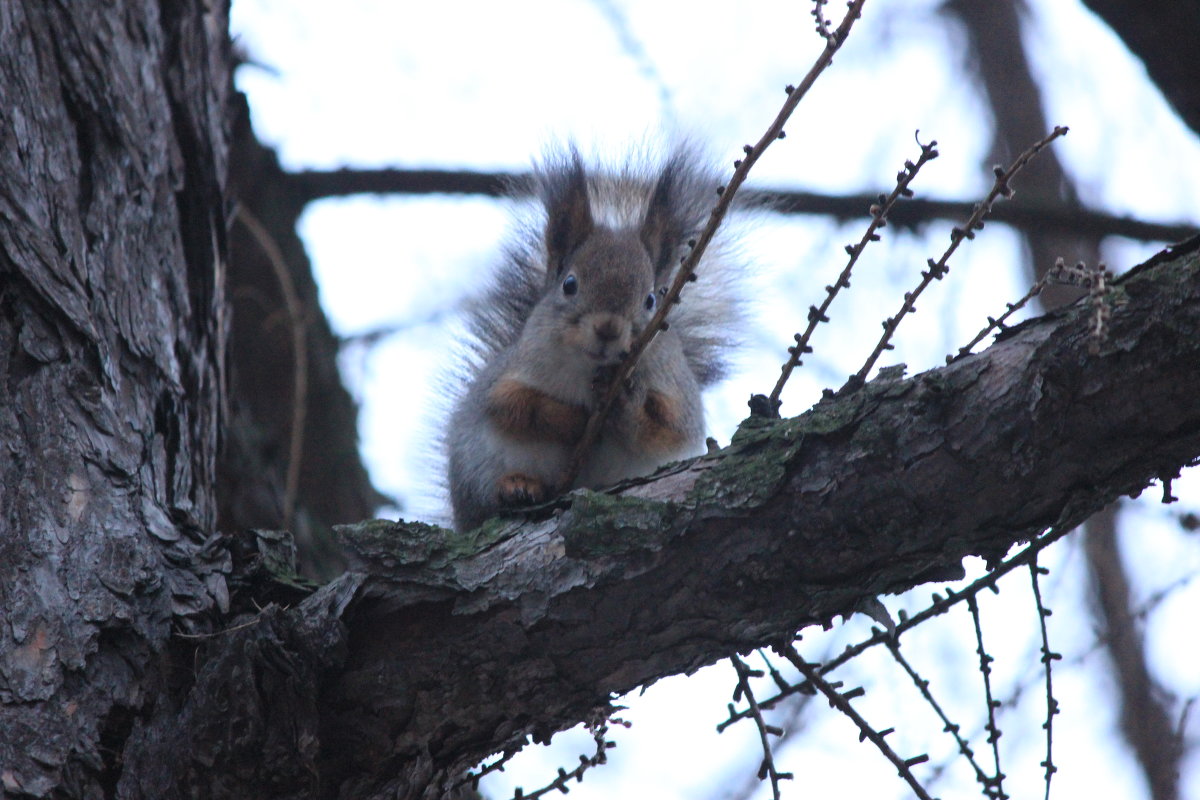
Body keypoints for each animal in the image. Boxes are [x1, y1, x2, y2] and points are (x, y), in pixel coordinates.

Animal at [444, 145, 739, 532]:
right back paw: (517, 486)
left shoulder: (677, 397)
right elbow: (520, 406)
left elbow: (665, 430)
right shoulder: (506, 379)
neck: (589, 371)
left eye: (651, 300)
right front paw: (575, 420)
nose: (608, 329)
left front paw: (623, 406)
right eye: (569, 284)